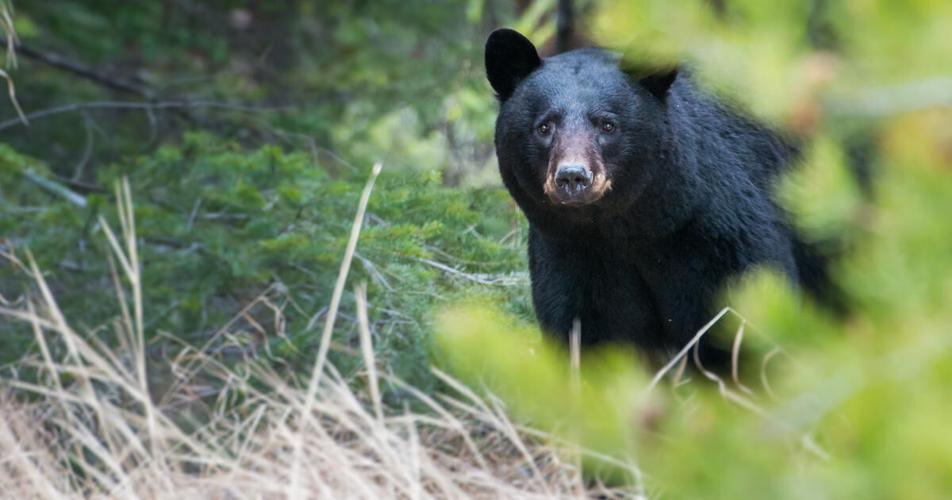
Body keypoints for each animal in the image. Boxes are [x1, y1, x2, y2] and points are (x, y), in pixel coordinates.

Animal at [485, 28, 816, 365]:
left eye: (608, 124)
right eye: (544, 126)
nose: (573, 176)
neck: (632, 229)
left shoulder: (720, 235)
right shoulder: (573, 253)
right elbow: (591, 332)